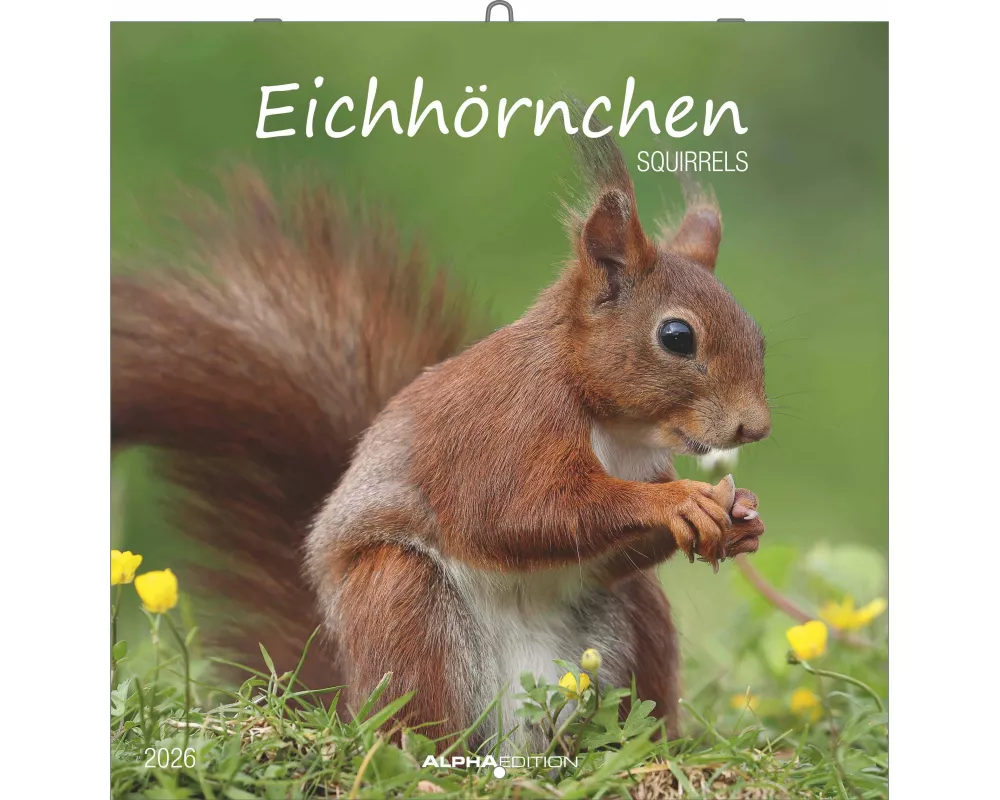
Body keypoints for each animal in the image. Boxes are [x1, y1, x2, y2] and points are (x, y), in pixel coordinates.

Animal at [111, 132, 770, 750]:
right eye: (677, 336)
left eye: (758, 334)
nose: (755, 427)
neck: (610, 423)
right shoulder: (504, 425)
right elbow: (517, 515)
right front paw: (679, 501)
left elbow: (606, 551)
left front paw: (740, 516)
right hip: (403, 608)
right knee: (420, 722)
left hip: (631, 626)